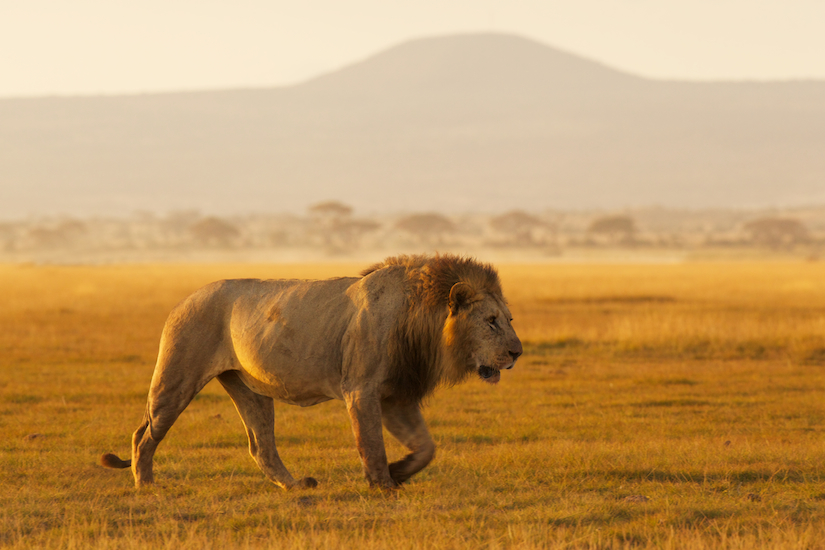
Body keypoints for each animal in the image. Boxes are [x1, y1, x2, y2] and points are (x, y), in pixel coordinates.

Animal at [100, 254, 520, 492]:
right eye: (491, 321)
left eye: (509, 319)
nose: (517, 352)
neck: (422, 325)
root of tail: (183, 299)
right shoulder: (362, 390)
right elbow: (370, 442)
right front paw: (383, 484)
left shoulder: (397, 395)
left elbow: (426, 447)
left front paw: (400, 472)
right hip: (177, 377)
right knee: (143, 435)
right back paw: (146, 484)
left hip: (251, 390)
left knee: (262, 447)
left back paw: (296, 486)